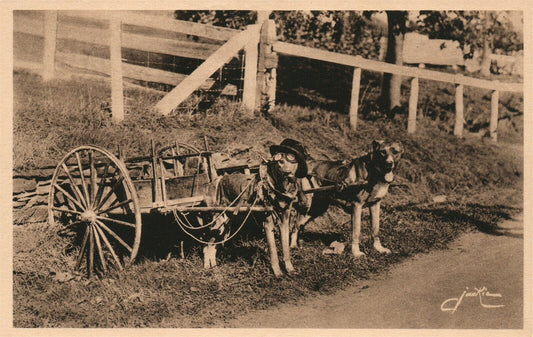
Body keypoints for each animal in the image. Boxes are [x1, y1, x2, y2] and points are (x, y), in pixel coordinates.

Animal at [202, 137, 306, 276]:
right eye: (279, 156)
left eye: (291, 157)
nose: (280, 161)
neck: (279, 186)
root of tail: (217, 180)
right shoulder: (267, 222)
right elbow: (273, 251)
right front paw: (277, 273)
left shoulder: (284, 219)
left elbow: (285, 248)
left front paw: (290, 269)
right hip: (217, 221)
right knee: (206, 246)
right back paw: (207, 268)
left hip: (225, 225)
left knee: (212, 246)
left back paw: (214, 267)